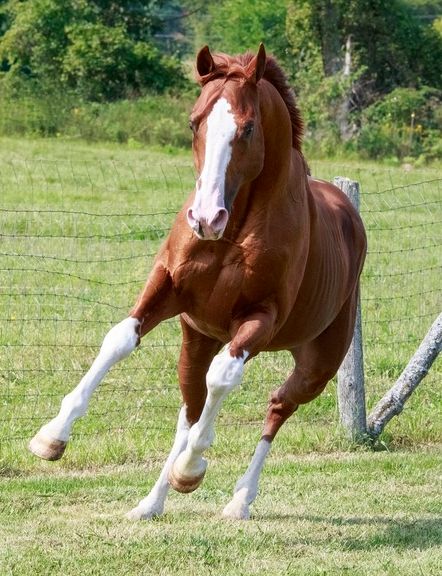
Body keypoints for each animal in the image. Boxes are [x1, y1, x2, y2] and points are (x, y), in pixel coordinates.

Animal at [28, 45, 366, 520]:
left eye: (247, 127)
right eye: (194, 121)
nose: (206, 217)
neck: (234, 231)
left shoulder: (260, 319)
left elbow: (224, 377)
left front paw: (191, 469)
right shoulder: (168, 287)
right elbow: (120, 339)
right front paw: (51, 436)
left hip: (318, 363)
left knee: (276, 407)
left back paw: (238, 500)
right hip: (198, 339)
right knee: (189, 409)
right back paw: (150, 504)